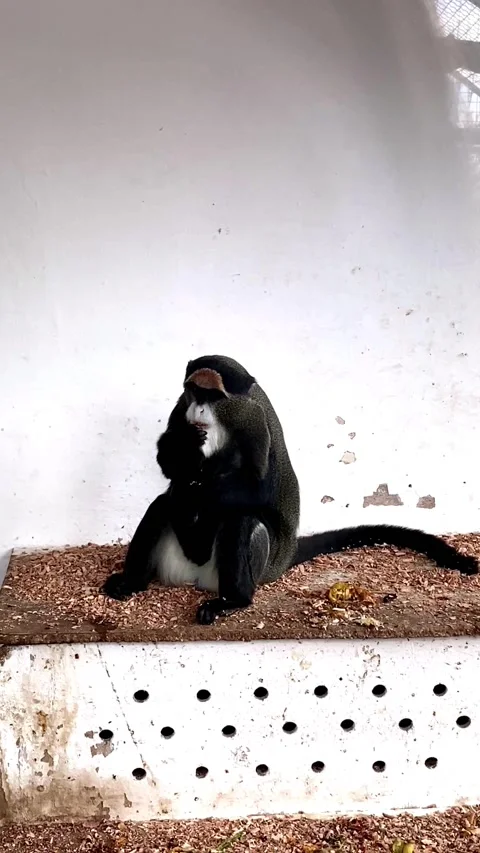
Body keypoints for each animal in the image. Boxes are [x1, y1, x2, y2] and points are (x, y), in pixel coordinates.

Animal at [102, 354, 478, 625]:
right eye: (195, 392)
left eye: (213, 395)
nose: (200, 408)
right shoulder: (180, 409)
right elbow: (173, 471)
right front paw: (183, 457)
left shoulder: (254, 425)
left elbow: (255, 492)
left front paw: (198, 496)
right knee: (160, 505)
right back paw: (132, 581)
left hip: (256, 565)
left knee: (241, 520)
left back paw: (232, 601)